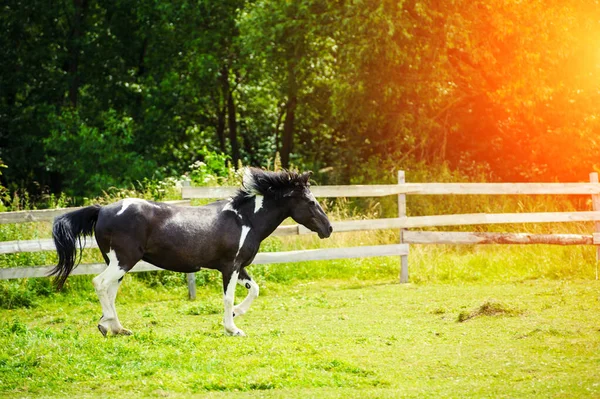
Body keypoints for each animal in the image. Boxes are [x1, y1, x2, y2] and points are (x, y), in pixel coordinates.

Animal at [50, 168, 332, 338]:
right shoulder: (230, 267)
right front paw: (233, 328)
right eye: (310, 201)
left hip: (117, 263)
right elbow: (228, 298)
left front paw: (237, 314)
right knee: (99, 283)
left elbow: (255, 289)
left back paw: (116, 328)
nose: (328, 228)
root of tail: (102, 210)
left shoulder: (239, 266)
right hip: (123, 261)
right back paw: (109, 323)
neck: (245, 219)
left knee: (110, 291)